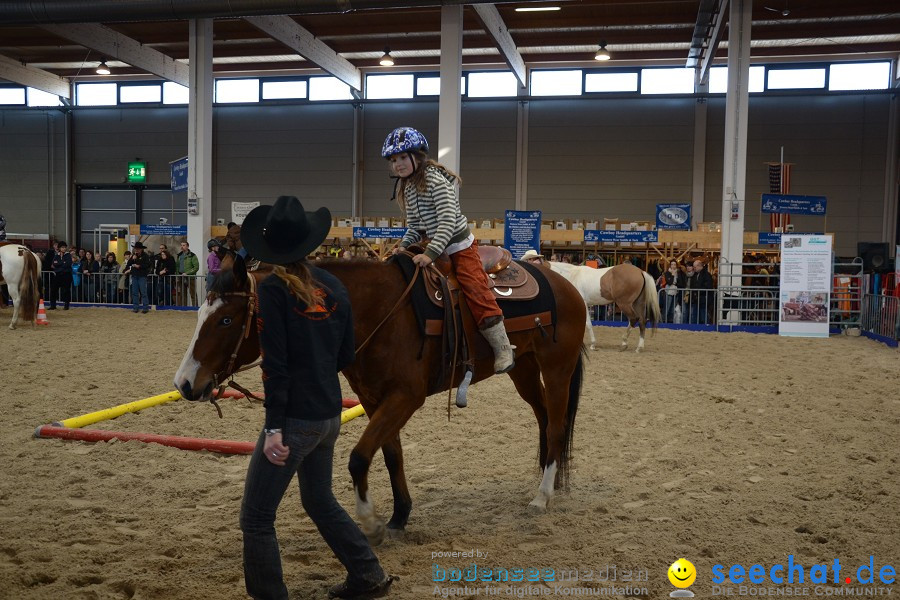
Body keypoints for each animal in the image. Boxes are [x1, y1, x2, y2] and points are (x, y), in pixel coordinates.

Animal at [173, 254, 588, 544]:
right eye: (202, 312)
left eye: (227, 319)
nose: (185, 383)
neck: (377, 310)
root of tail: (565, 284)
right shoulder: (374, 400)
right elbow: (390, 455)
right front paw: (399, 516)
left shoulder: (405, 397)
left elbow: (359, 457)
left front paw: (371, 523)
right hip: (523, 370)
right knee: (543, 419)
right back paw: (545, 480)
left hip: (557, 368)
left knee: (555, 425)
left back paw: (542, 496)